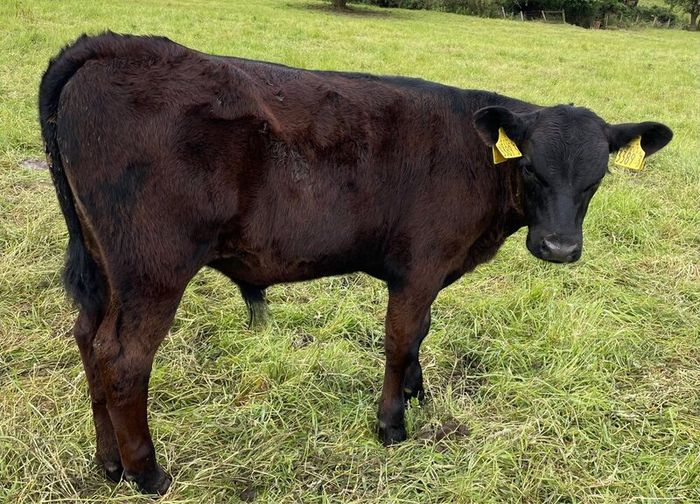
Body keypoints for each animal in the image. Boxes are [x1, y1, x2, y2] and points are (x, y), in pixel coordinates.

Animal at [39, 33, 672, 495]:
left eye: (597, 177)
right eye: (533, 169)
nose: (559, 247)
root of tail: (113, 45)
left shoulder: (429, 273)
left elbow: (421, 334)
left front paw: (417, 391)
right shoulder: (419, 267)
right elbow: (400, 338)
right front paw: (392, 423)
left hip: (104, 268)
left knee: (89, 339)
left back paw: (109, 464)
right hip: (154, 270)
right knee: (123, 359)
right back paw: (147, 473)